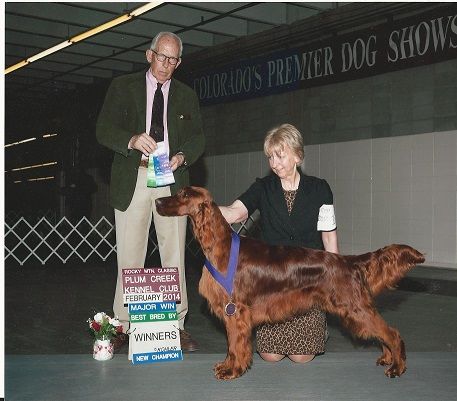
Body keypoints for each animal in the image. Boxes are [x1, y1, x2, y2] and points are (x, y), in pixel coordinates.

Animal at [155, 184, 426, 378]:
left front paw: (233, 370)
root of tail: (347, 261)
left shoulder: (236, 310)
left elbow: (234, 344)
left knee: (391, 333)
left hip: (355, 308)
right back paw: (387, 358)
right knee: (382, 333)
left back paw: (397, 366)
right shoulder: (234, 312)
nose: (157, 201)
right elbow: (232, 344)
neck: (220, 246)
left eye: (182, 194)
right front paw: (229, 366)